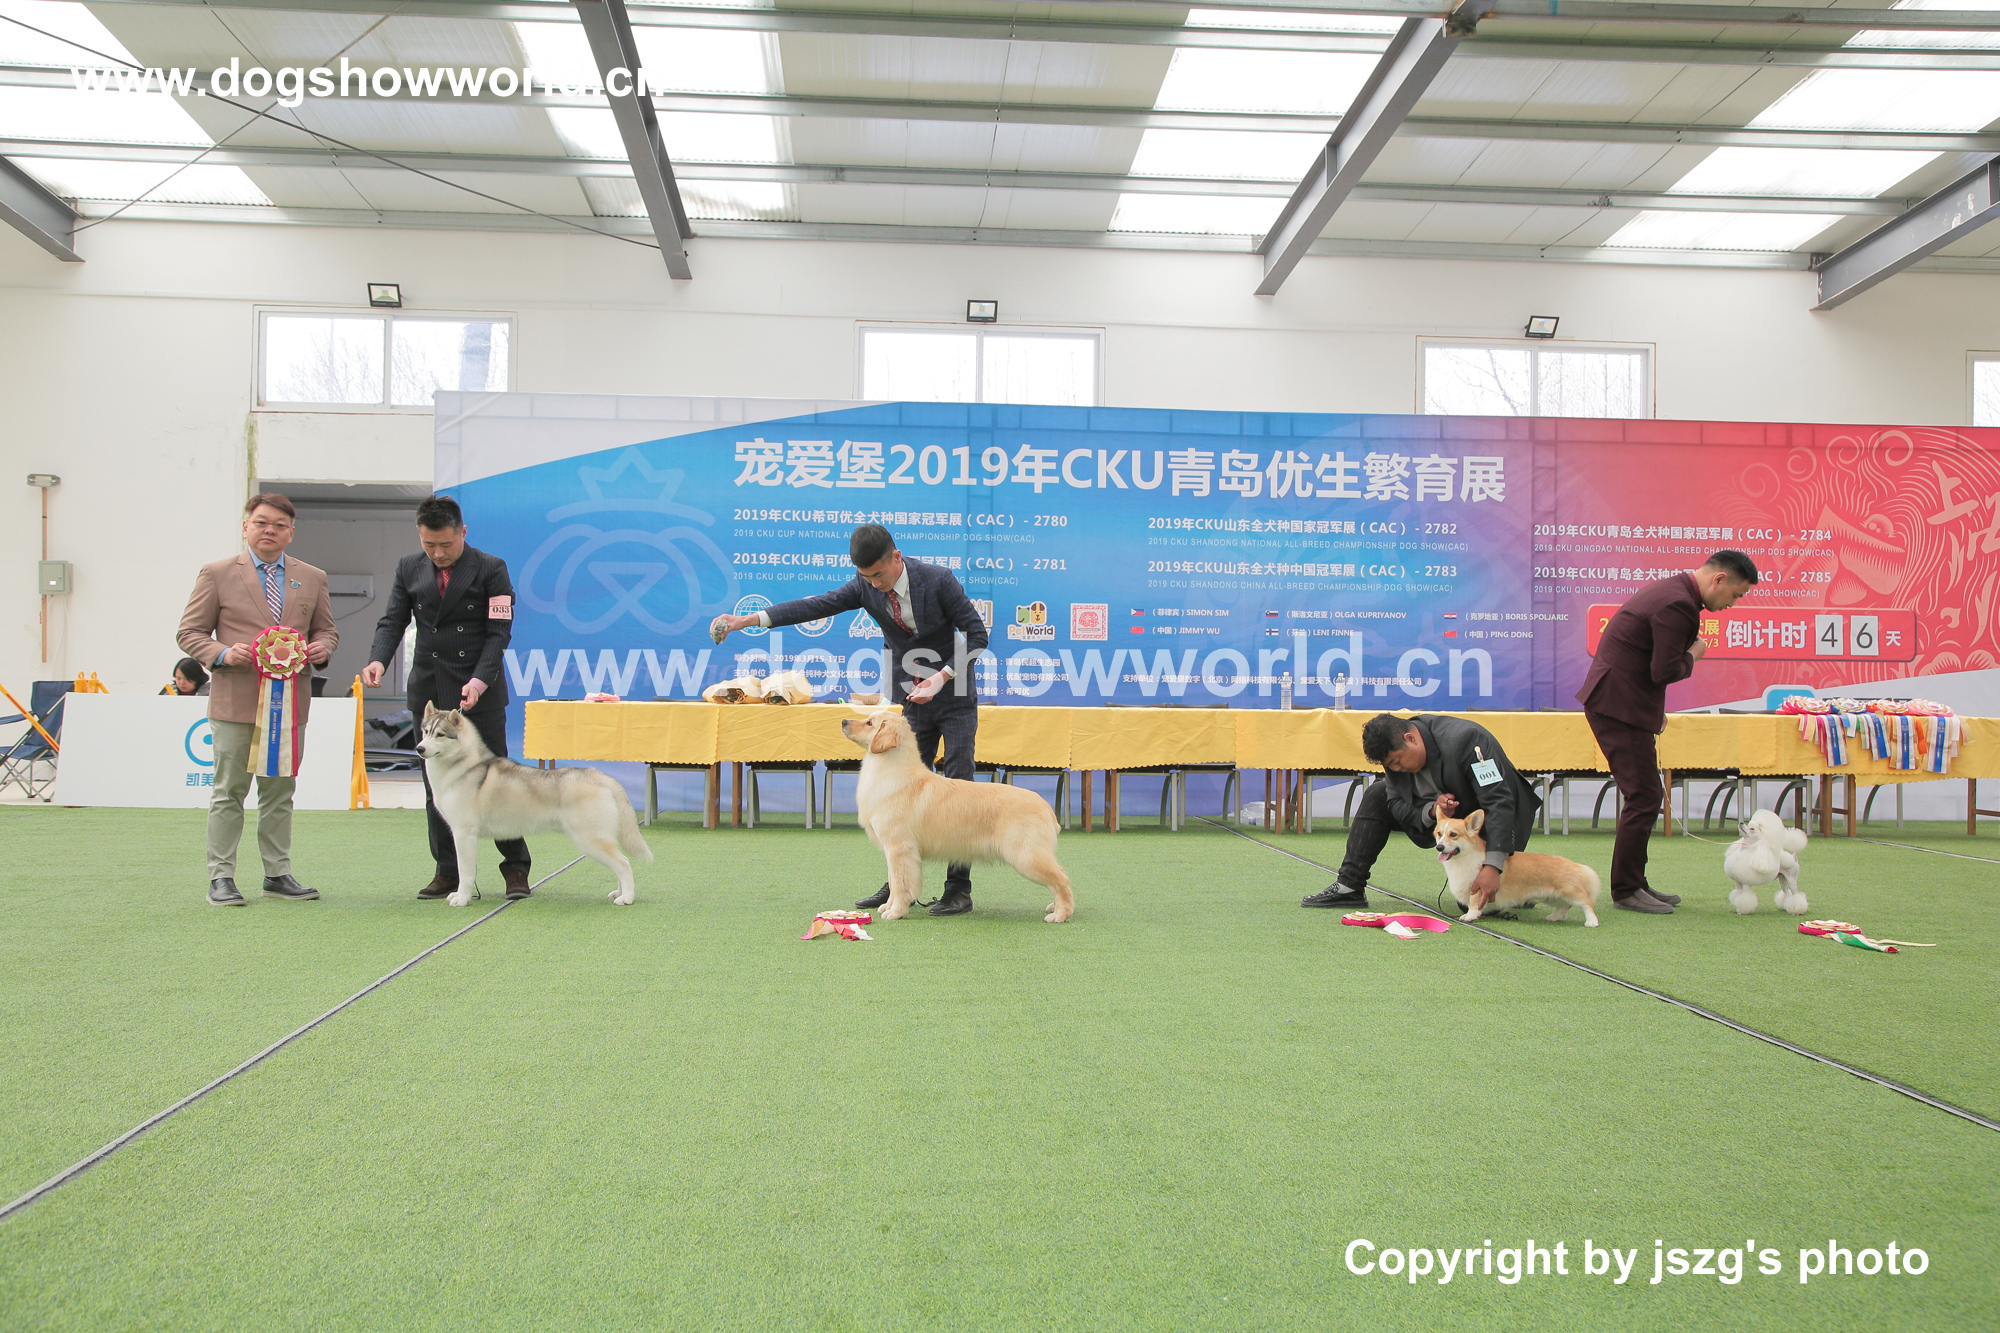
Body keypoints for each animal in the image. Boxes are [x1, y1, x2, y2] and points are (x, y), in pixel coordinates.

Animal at [416, 703, 653, 907]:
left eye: (440, 734)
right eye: (425, 731)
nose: (419, 749)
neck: (463, 767)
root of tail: (601, 777)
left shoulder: (464, 833)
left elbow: (465, 872)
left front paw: (463, 898)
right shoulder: (461, 834)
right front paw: (458, 894)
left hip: (591, 840)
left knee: (624, 864)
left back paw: (627, 898)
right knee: (620, 864)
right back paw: (619, 892)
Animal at [839, 709, 1074, 922]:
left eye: (869, 723)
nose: (843, 721)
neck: (892, 772)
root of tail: (1045, 806)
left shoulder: (899, 848)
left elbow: (900, 884)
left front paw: (896, 912)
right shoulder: (895, 850)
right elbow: (894, 881)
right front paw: (887, 906)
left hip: (1026, 855)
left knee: (1062, 879)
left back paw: (1060, 914)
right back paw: (1055, 907)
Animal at [1436, 808, 1601, 927]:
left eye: (1453, 834)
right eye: (1439, 833)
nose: (1439, 847)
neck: (1464, 858)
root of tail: (1576, 865)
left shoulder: (1478, 887)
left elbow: (1473, 902)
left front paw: (1470, 916)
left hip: (1570, 892)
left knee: (1587, 903)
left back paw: (1592, 922)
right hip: (1553, 896)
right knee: (1564, 906)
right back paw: (1554, 917)